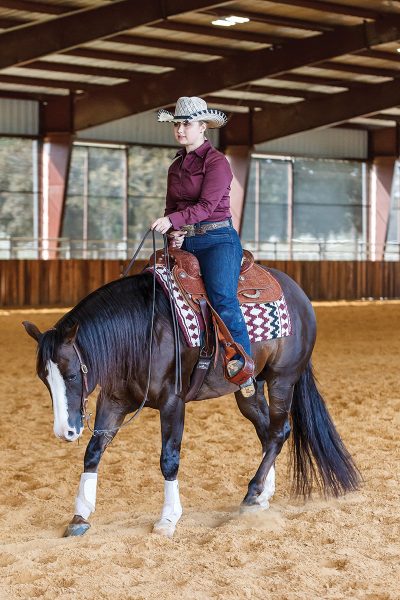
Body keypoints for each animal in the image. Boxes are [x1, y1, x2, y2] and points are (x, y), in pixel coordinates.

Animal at [22, 270, 360, 536]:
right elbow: (93, 452)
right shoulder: (115, 399)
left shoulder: (173, 402)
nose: (65, 431)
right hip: (249, 388)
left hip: (282, 380)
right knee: (267, 433)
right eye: (43, 377)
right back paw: (264, 494)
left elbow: (169, 459)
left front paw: (168, 519)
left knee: (279, 431)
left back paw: (252, 494)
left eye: (70, 374)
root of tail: (299, 295)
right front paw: (80, 515)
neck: (142, 331)